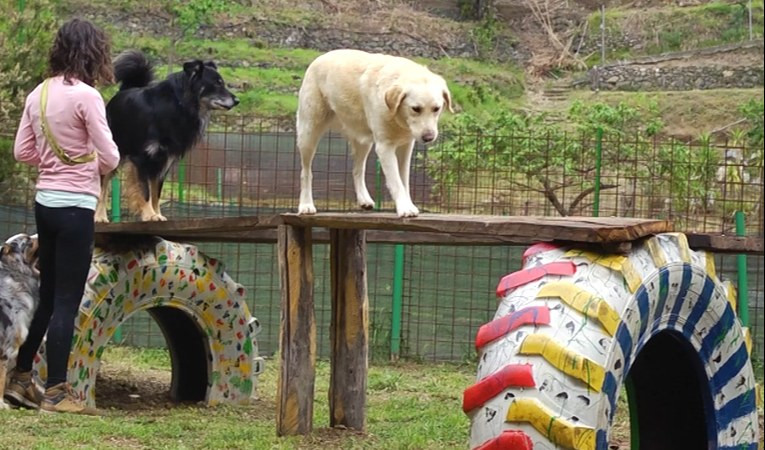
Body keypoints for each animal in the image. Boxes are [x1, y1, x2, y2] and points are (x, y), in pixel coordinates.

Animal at [292, 49, 448, 218]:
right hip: (308, 133)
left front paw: (408, 204)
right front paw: (405, 208)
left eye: (436, 108)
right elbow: (396, 181)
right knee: (306, 172)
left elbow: (403, 180)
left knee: (357, 169)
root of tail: (320, 57)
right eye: (416, 109)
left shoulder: (406, 146)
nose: (429, 137)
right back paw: (306, 205)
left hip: (363, 141)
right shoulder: (385, 147)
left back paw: (364, 200)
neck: (397, 116)